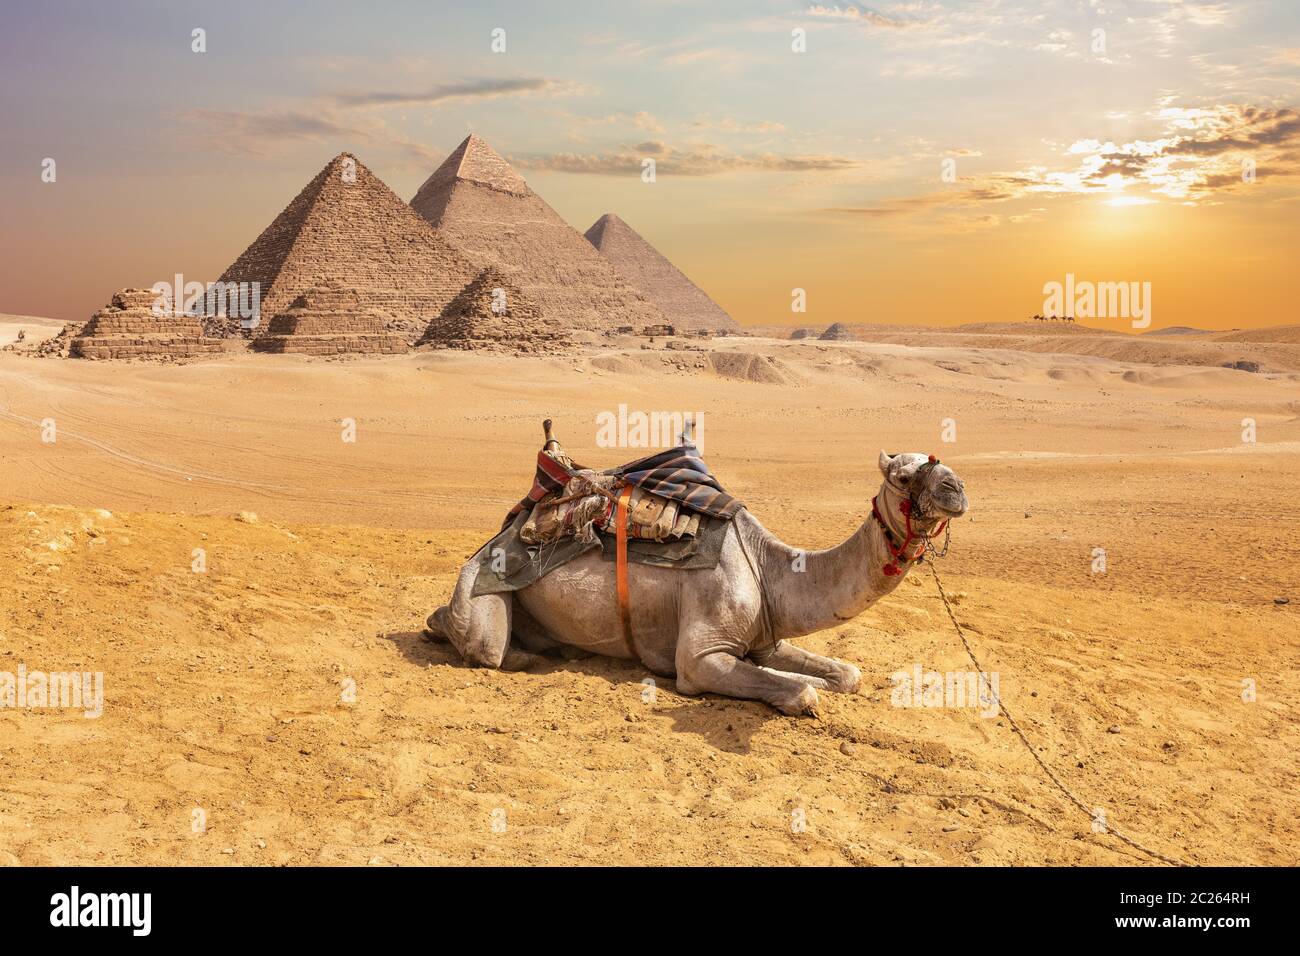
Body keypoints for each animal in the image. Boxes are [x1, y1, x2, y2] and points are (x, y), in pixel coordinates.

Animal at [425, 450, 969, 715]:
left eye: (943, 464)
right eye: (902, 478)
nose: (957, 488)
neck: (767, 567)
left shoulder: (766, 636)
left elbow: (847, 675)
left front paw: (822, 678)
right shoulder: (702, 654)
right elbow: (801, 693)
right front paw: (802, 689)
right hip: (480, 587)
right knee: (487, 646)